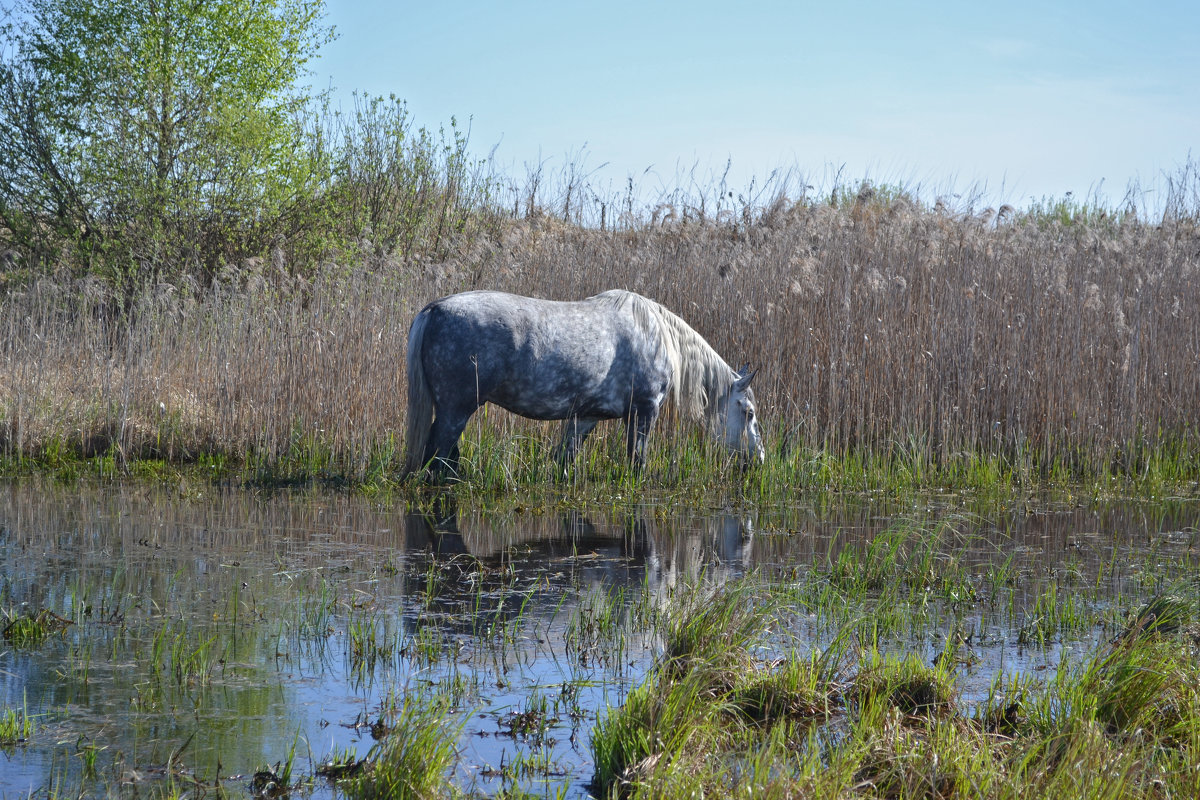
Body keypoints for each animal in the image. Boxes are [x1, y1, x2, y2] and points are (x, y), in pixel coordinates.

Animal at [398, 287, 763, 479]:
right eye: (748, 413)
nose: (757, 461)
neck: (654, 333)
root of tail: (434, 309)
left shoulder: (585, 417)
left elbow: (564, 459)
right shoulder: (644, 413)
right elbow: (637, 461)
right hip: (455, 411)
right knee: (438, 455)